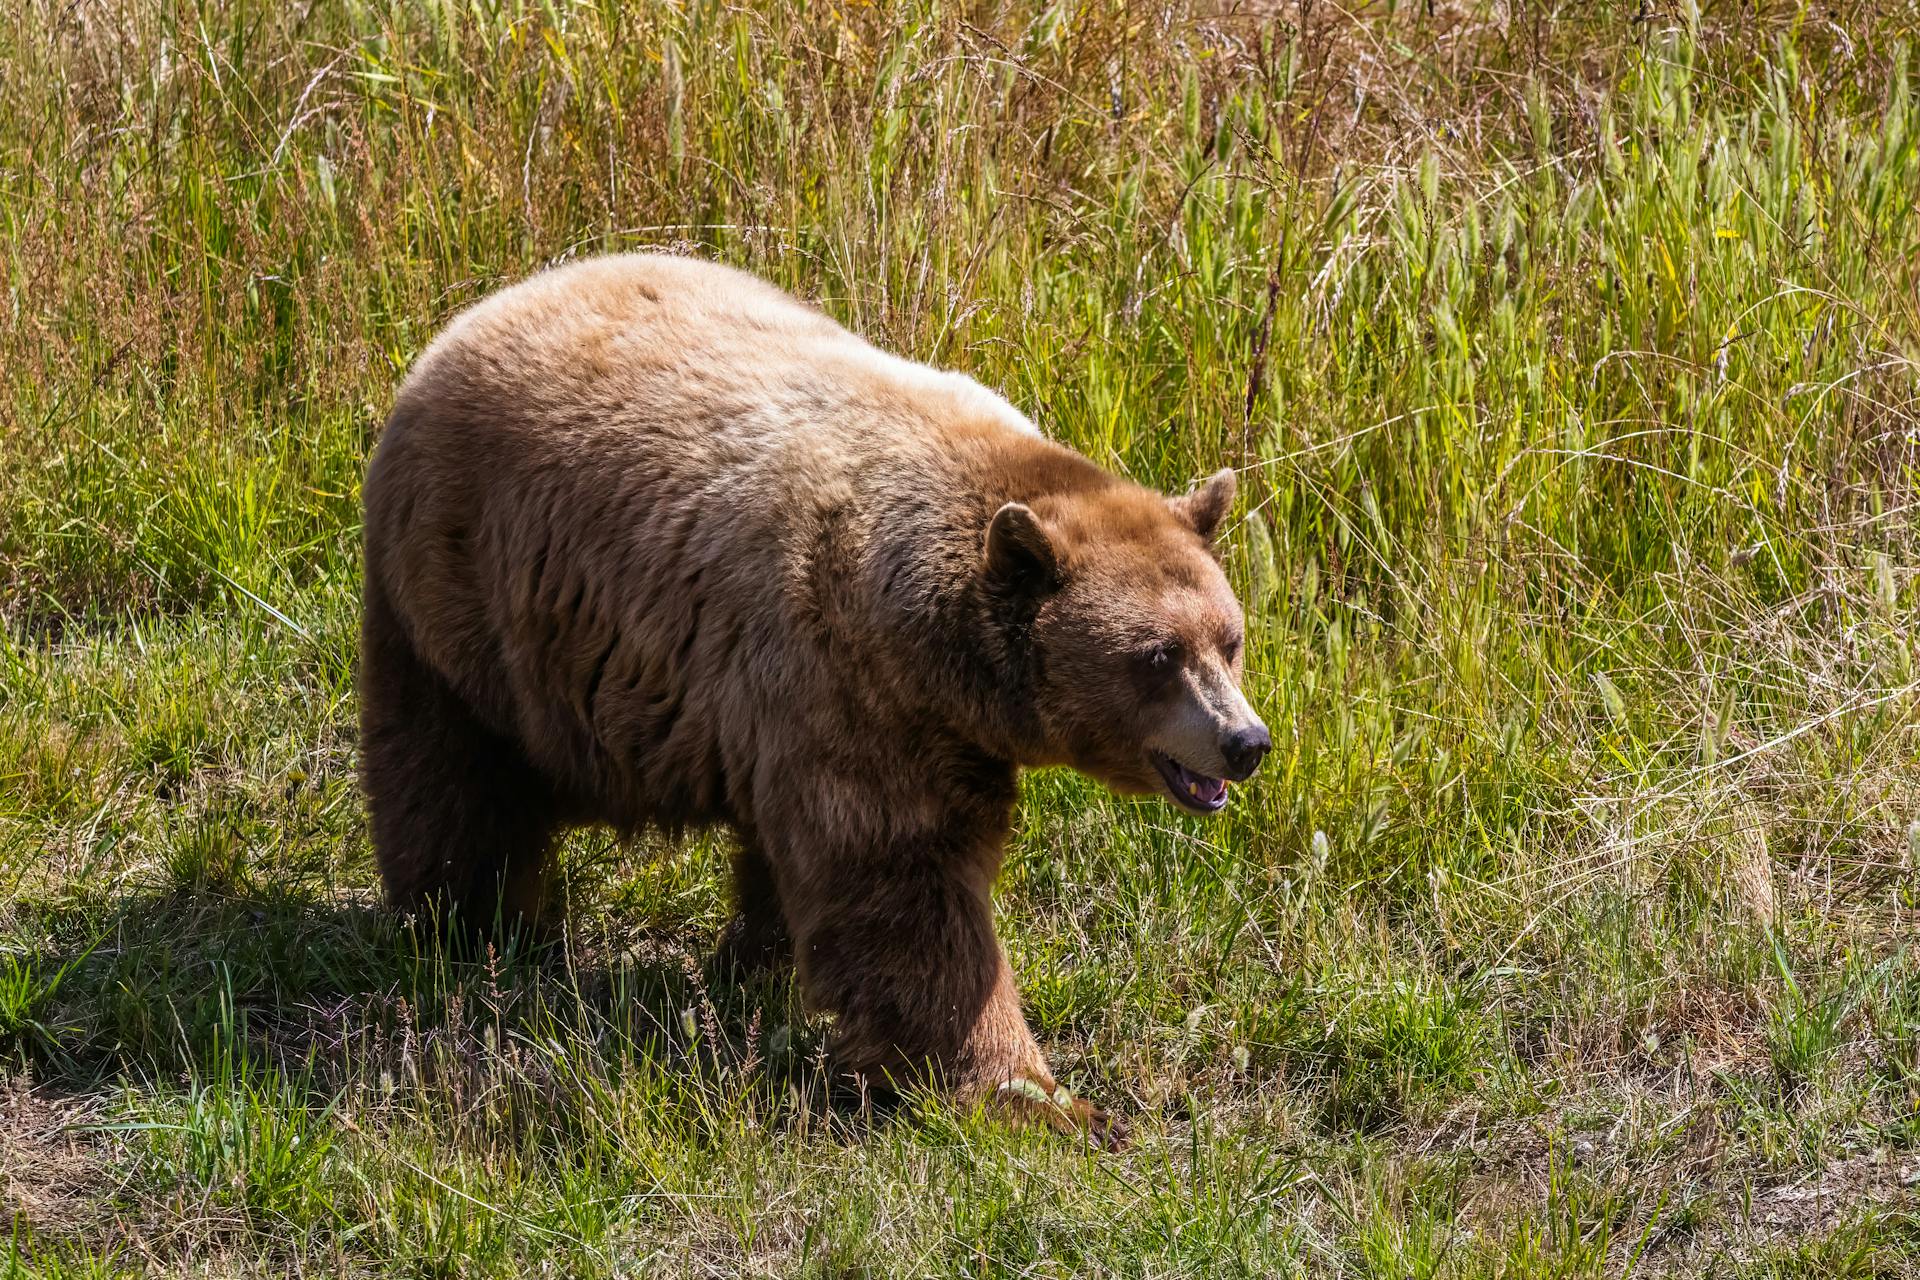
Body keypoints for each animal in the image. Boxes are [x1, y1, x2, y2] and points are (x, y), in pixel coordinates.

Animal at [357, 255, 1274, 1143]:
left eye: (1228, 638)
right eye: (1157, 656)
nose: (1246, 742)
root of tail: (487, 309)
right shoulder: (855, 684)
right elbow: (906, 891)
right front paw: (1037, 1098)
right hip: (465, 604)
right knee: (452, 777)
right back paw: (466, 929)